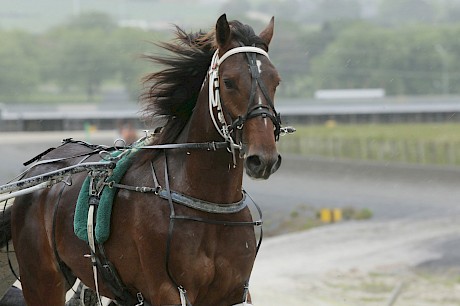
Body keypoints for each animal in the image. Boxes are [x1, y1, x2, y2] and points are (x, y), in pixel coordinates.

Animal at [0, 14, 282, 306]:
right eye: (229, 81)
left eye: (276, 81)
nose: (263, 158)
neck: (209, 205)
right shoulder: (167, 290)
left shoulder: (236, 292)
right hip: (42, 280)